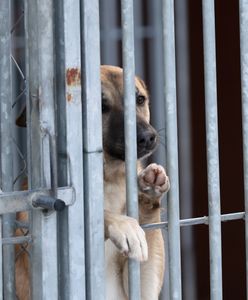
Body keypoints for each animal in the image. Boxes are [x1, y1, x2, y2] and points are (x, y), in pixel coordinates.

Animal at [15, 64, 170, 298]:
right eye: (100, 106)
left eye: (140, 99)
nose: (147, 138)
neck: (109, 180)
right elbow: (93, 214)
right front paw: (125, 225)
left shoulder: (143, 286)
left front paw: (149, 191)